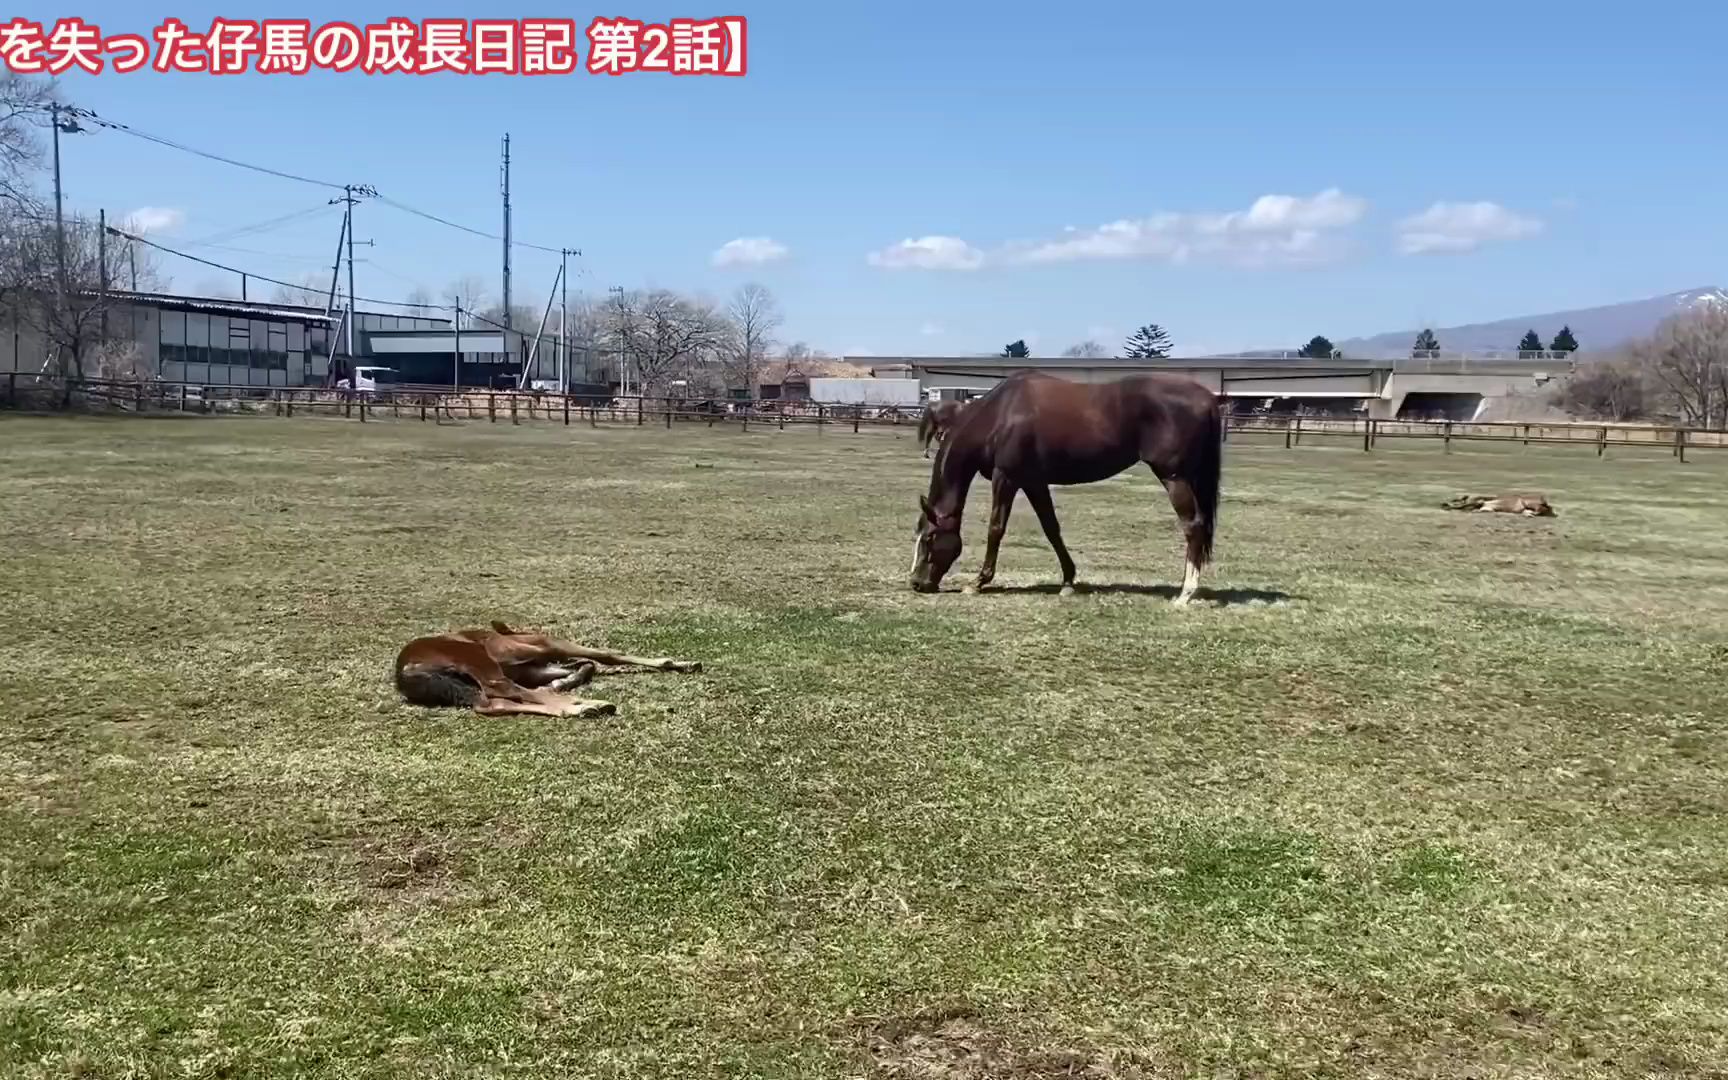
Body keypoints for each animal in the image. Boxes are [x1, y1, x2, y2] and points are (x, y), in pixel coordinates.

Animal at [395, 622, 705, 715]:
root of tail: (406, 670)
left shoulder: (533, 668)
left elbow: (586, 666)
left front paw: (562, 684)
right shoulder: (546, 646)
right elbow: (606, 655)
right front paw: (679, 662)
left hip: (469, 683)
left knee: (493, 704)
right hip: (480, 663)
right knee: (506, 690)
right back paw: (587, 706)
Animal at [912, 369, 1223, 601]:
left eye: (928, 539)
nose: (916, 582)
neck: (999, 416)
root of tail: (1207, 398)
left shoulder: (1007, 478)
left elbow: (996, 529)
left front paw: (978, 581)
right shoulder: (1034, 482)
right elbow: (1052, 528)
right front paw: (1068, 580)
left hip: (1174, 477)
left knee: (1193, 525)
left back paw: (1185, 593)